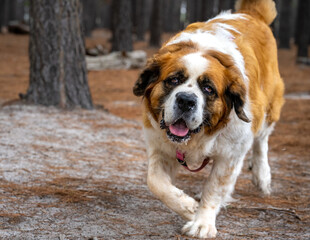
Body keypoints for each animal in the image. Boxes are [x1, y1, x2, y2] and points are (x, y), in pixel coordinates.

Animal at [133, 0, 284, 237]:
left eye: (208, 89)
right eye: (173, 80)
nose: (186, 100)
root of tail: (251, 14)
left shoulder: (230, 155)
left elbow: (214, 189)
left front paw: (202, 222)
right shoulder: (160, 146)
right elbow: (155, 182)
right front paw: (188, 207)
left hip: (269, 106)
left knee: (262, 141)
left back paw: (261, 175)